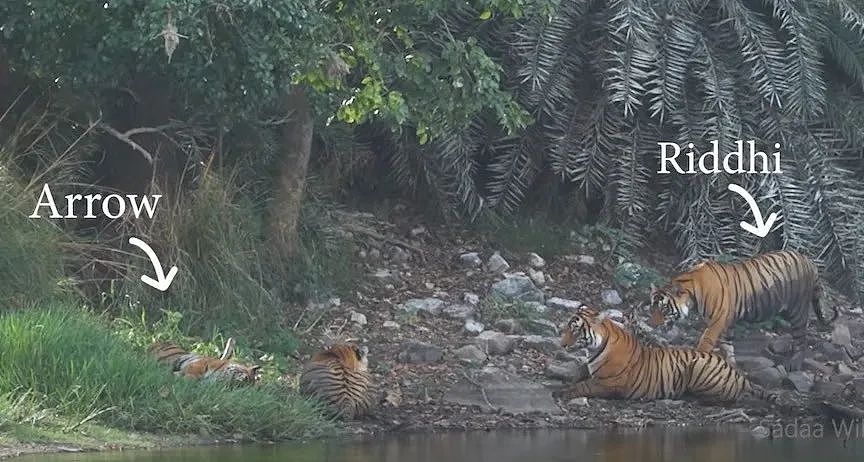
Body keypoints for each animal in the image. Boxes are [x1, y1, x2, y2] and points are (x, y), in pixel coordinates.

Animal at [555, 305, 776, 403]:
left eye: (575, 330)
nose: (562, 344)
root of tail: (741, 376)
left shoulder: (607, 383)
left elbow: (583, 385)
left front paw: (562, 392)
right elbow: (578, 372)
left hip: (698, 367)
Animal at [648, 249, 838, 369]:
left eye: (664, 309)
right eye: (652, 309)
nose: (653, 325)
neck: (693, 292)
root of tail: (809, 261)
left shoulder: (717, 320)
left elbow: (706, 342)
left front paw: (697, 358)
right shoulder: (726, 322)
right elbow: (727, 345)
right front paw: (732, 366)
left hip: (797, 310)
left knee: (801, 339)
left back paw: (794, 365)